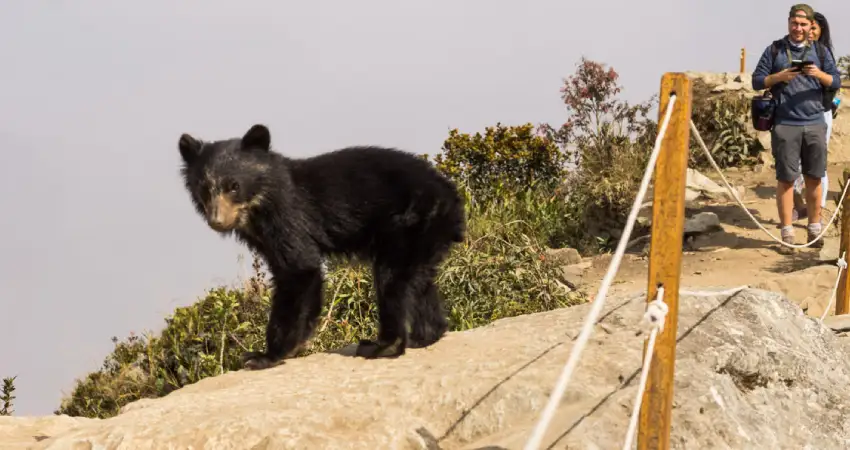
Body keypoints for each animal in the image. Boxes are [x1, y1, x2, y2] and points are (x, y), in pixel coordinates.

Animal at [174, 123, 464, 370]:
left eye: (233, 186)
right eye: (204, 188)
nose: (217, 221)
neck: (257, 206)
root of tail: (451, 195)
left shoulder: (287, 216)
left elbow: (299, 269)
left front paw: (264, 356)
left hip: (408, 222)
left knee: (392, 280)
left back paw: (382, 345)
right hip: (426, 233)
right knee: (419, 281)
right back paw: (425, 336)